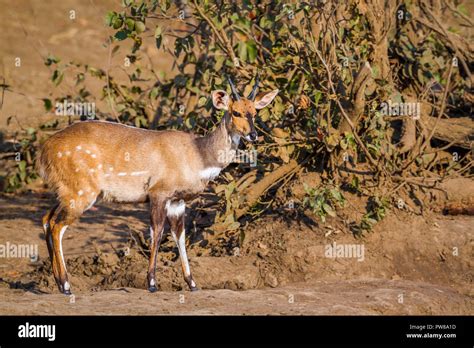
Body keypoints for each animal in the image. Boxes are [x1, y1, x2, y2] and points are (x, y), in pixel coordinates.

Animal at [39, 76, 280, 294]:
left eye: (255, 113)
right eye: (236, 112)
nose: (253, 135)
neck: (198, 155)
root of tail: (45, 149)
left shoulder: (177, 201)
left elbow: (179, 235)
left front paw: (192, 284)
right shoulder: (158, 194)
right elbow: (157, 232)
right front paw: (152, 283)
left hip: (68, 192)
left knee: (47, 219)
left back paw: (58, 282)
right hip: (82, 193)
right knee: (57, 225)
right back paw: (66, 286)